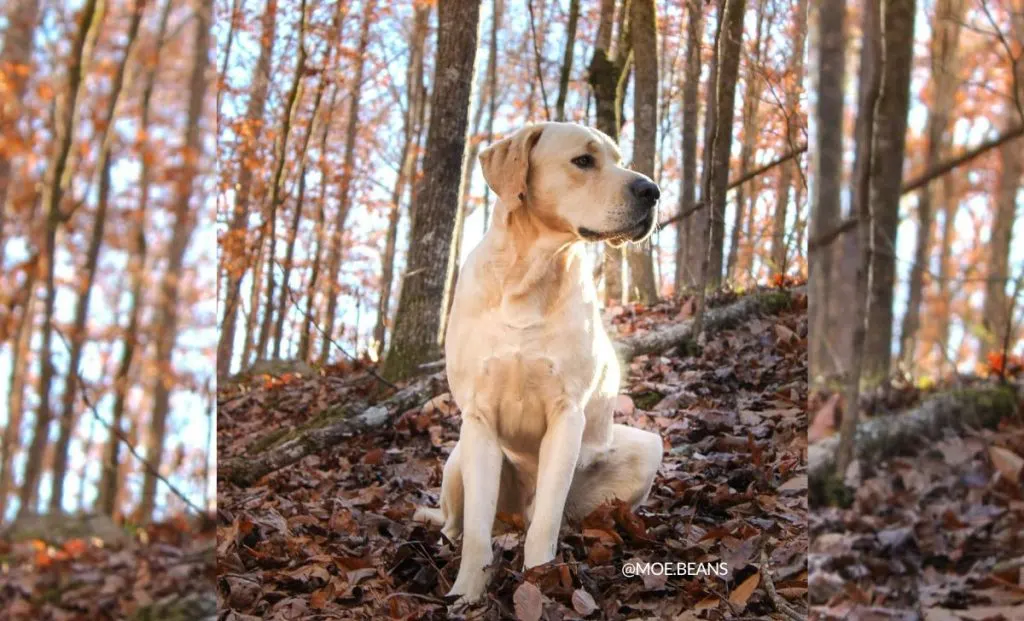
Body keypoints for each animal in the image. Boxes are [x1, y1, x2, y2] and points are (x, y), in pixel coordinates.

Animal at [415, 120, 663, 602]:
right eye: (583, 160)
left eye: (619, 159)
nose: (653, 190)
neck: (528, 275)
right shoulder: (478, 417)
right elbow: (476, 532)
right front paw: (467, 592)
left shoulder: (567, 415)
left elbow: (546, 521)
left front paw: (541, 580)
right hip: (457, 461)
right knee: (457, 524)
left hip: (648, 446)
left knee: (546, 516)